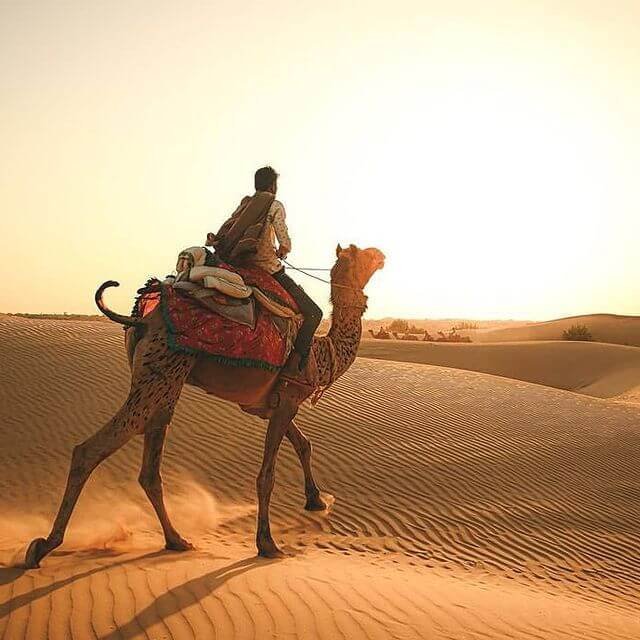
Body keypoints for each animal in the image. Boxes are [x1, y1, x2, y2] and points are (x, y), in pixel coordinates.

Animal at [25, 244, 384, 568]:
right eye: (364, 255)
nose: (381, 255)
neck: (322, 353)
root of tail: (142, 318)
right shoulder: (288, 398)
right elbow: (267, 475)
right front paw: (267, 544)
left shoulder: (271, 405)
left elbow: (304, 444)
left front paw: (317, 500)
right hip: (159, 374)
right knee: (90, 450)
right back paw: (44, 546)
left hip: (164, 383)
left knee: (149, 468)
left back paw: (176, 540)